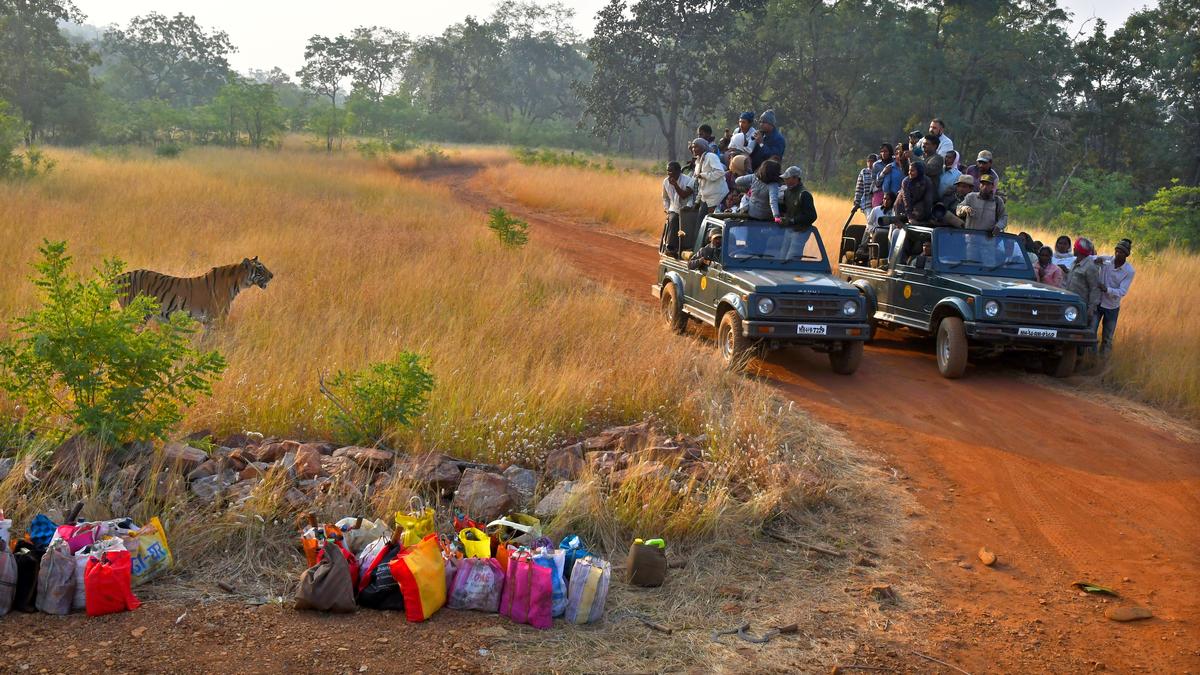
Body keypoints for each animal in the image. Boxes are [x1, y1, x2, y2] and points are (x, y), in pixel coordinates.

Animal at [115, 256, 274, 323]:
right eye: (260, 269)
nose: (272, 275)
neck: (237, 283)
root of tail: (119, 277)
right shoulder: (217, 320)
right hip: (137, 313)